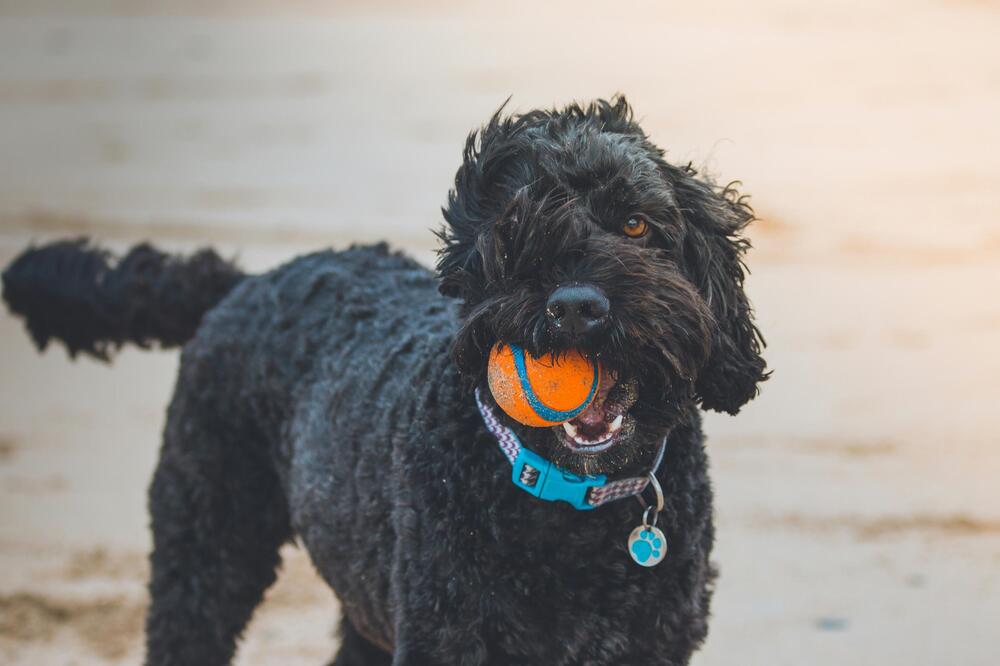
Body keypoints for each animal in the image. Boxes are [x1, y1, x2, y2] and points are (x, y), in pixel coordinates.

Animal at [1, 96, 764, 660]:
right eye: (513, 230)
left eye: (635, 224)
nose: (576, 306)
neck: (568, 506)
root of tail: (246, 282)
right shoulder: (446, 638)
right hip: (206, 544)